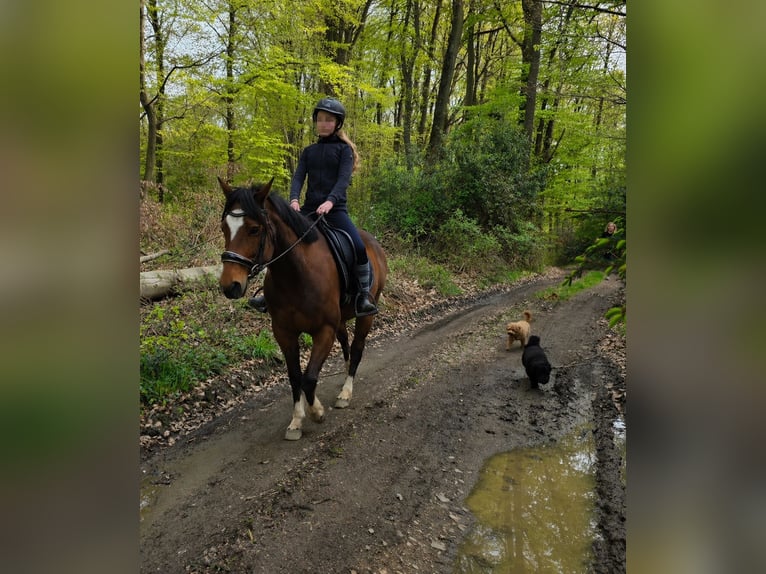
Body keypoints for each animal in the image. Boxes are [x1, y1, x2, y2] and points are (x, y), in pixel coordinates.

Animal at [217, 177, 388, 440]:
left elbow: (309, 377)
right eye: (224, 228)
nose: (230, 286)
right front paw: (296, 421)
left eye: (254, 229)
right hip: (340, 320)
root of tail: (373, 242)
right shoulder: (284, 333)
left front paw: (316, 411)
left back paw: (346, 392)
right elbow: (295, 376)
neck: (296, 275)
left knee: (357, 348)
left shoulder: (323, 331)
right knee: (346, 344)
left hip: (365, 315)